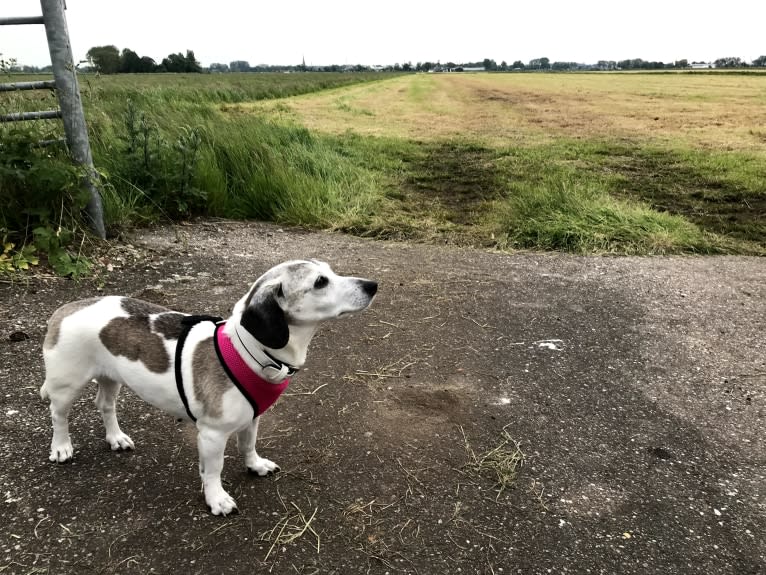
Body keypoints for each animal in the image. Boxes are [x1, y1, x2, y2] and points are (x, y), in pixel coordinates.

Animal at [41, 258, 378, 516]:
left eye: (329, 271)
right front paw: (216, 499)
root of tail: (68, 307)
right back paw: (61, 447)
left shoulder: (252, 418)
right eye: (320, 282)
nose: (372, 285)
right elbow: (214, 470)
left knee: (105, 405)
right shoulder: (213, 435)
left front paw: (255, 465)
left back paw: (115, 437)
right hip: (66, 386)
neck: (250, 350)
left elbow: (248, 445)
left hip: (111, 378)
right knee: (58, 415)